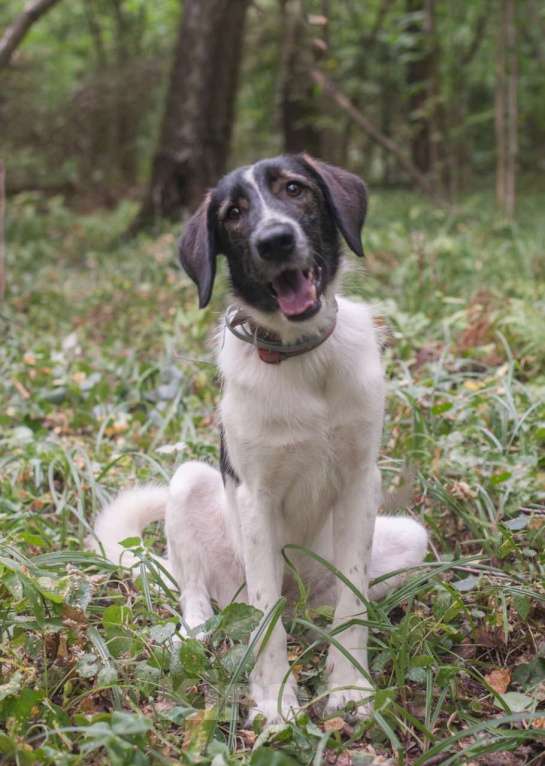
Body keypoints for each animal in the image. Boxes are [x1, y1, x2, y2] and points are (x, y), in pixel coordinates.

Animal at [95, 153, 432, 724]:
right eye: (233, 214)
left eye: (294, 189)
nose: (274, 239)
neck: (302, 359)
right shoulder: (257, 499)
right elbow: (266, 615)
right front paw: (276, 702)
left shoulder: (361, 481)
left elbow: (353, 598)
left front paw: (349, 688)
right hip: (189, 487)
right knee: (203, 594)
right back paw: (195, 632)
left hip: (410, 537)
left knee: (328, 604)